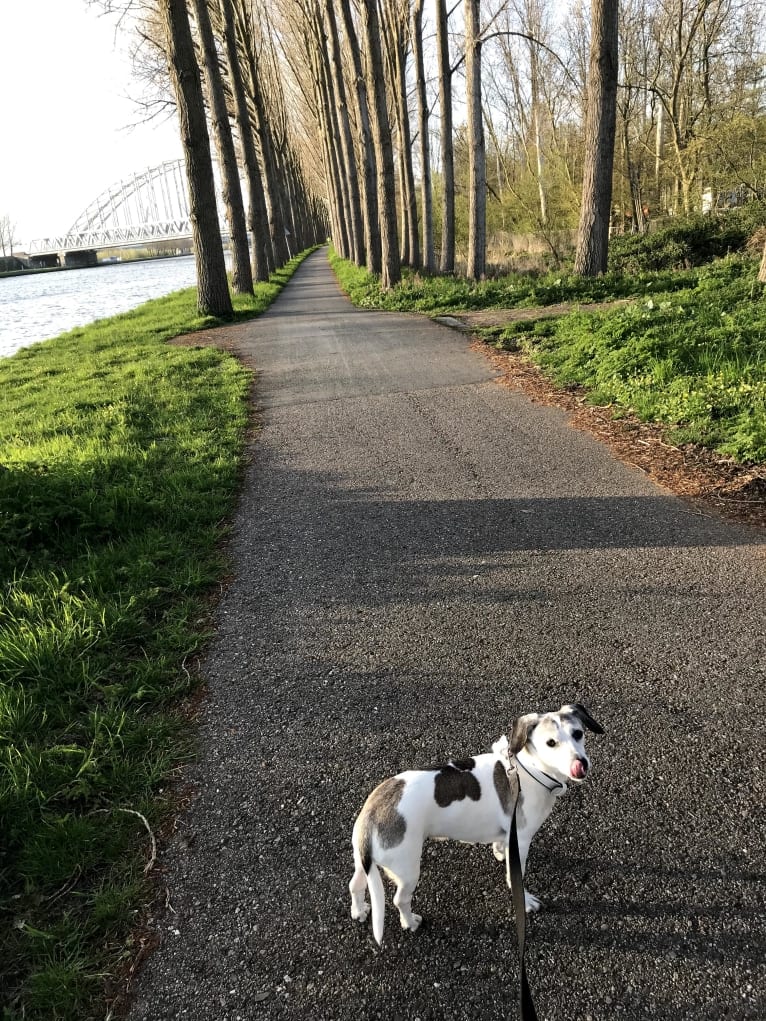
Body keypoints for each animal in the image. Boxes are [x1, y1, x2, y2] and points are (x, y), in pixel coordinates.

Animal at [349, 706, 604, 943]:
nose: (581, 763)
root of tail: (371, 812)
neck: (530, 771)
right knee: (400, 899)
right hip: (407, 869)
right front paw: (526, 901)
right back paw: (410, 922)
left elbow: (501, 845)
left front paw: (499, 852)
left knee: (355, 884)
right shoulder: (521, 840)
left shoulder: (509, 834)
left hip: (363, 861)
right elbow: (516, 877)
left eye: (578, 733)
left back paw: (359, 910)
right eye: (551, 743)